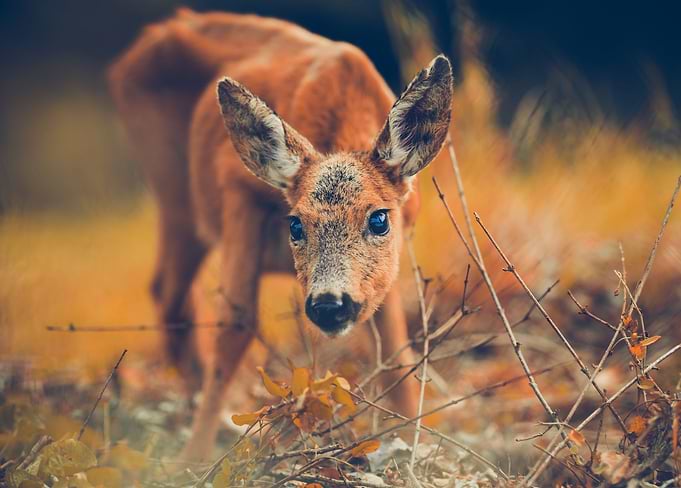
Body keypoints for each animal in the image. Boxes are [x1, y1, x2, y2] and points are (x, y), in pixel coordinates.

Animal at [109, 8, 453, 461]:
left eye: (380, 219)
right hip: (174, 191)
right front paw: (195, 458)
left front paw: (420, 444)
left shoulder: (385, 270)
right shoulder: (238, 196)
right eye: (295, 224)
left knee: (171, 291)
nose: (328, 304)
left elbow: (396, 344)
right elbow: (236, 326)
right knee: (170, 290)